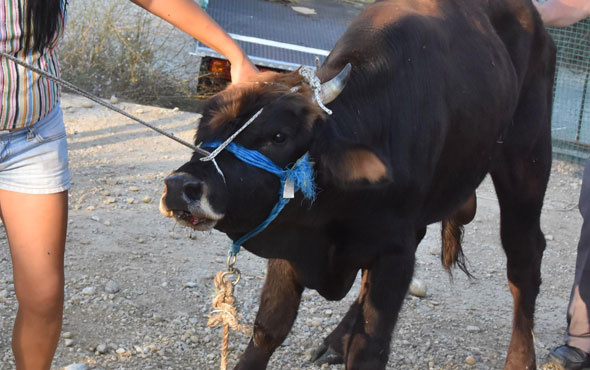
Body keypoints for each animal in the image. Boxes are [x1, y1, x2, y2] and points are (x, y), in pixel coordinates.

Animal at [160, 0, 556, 368]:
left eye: (278, 135)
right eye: (202, 130)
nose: (180, 187)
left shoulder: (393, 255)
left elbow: (369, 350)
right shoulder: (291, 237)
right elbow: (269, 328)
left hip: (528, 157)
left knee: (525, 256)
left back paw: (521, 358)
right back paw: (337, 340)